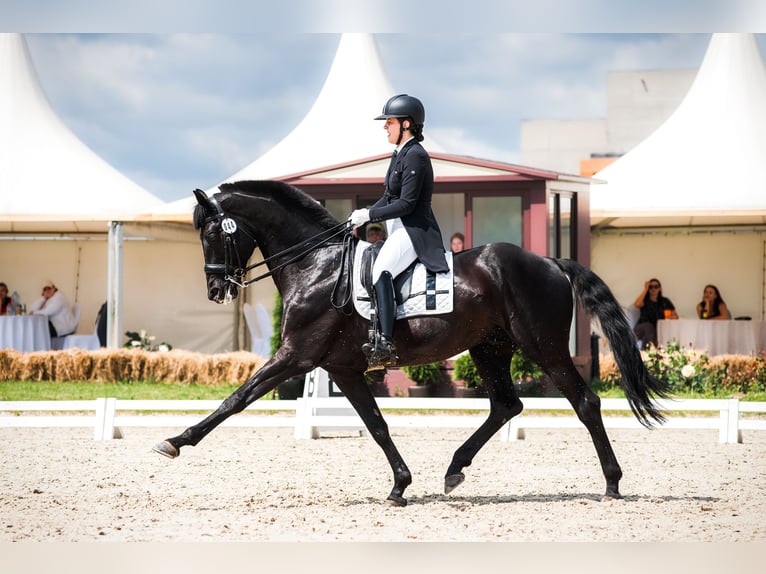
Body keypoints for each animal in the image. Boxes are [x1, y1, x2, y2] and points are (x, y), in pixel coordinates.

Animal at [156, 181, 672, 508]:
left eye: (211, 232)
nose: (216, 290)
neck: (316, 264)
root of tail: (548, 260)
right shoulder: (342, 369)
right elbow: (377, 426)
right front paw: (400, 487)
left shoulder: (295, 356)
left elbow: (236, 399)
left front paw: (175, 441)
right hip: (489, 348)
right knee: (506, 405)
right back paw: (454, 468)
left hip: (542, 347)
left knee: (584, 402)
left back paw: (611, 484)